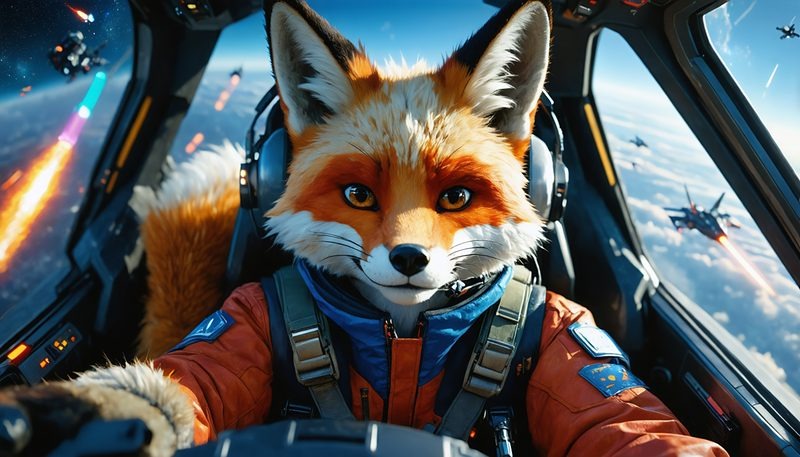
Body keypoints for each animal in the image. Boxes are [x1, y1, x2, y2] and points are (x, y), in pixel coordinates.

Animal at [0, 1, 727, 456]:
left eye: (456, 195)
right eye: (358, 194)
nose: (408, 258)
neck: (403, 336)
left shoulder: (576, 337)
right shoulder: (242, 318)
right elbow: (171, 386)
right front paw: (93, 418)